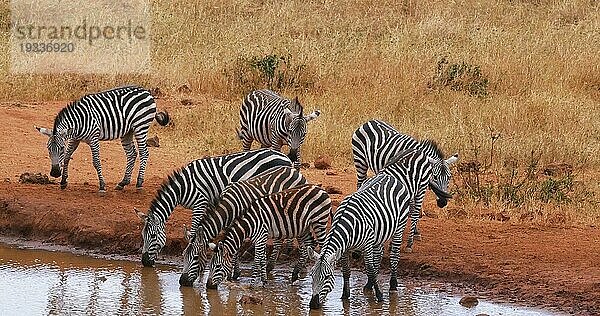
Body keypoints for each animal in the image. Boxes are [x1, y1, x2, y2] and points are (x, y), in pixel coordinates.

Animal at [34, 85, 170, 191]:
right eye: (48, 149)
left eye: (61, 148)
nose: (55, 173)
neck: (79, 122)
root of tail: (147, 91)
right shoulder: (74, 139)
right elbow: (67, 157)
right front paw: (63, 181)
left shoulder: (93, 139)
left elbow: (96, 161)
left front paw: (102, 185)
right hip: (128, 131)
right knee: (132, 154)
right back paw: (123, 183)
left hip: (141, 126)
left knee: (144, 153)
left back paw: (139, 182)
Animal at [177, 167, 308, 288]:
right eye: (183, 255)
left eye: (196, 257)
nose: (182, 282)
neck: (229, 208)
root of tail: (295, 171)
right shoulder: (231, 226)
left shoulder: (243, 221)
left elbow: (235, 248)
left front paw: (233, 274)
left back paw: (296, 270)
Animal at [308, 149, 448, 310]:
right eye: (311, 276)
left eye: (327, 277)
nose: (313, 304)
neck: (347, 226)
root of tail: (391, 176)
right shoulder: (344, 250)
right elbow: (346, 271)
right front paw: (345, 296)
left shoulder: (367, 244)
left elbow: (369, 268)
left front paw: (380, 296)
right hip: (380, 231)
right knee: (379, 254)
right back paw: (369, 285)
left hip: (399, 226)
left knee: (393, 256)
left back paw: (392, 285)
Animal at [352, 119, 460, 251]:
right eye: (435, 177)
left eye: (449, 178)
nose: (443, 202)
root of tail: (370, 121)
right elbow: (410, 208)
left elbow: (415, 209)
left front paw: (415, 233)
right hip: (360, 162)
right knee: (359, 183)